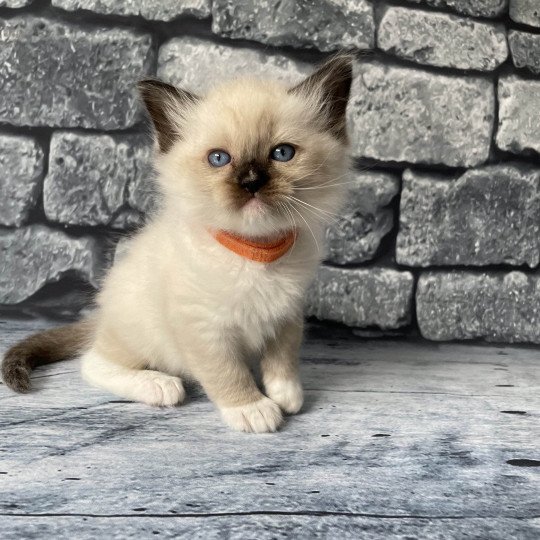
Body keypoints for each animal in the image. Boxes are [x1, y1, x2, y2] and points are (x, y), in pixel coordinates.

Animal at [3, 53, 354, 434]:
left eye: (282, 153)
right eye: (219, 159)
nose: (251, 182)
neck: (254, 253)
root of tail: (101, 317)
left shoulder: (285, 315)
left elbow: (282, 360)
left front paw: (286, 396)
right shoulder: (203, 328)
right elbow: (228, 374)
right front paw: (253, 409)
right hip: (140, 333)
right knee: (93, 362)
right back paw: (160, 385)